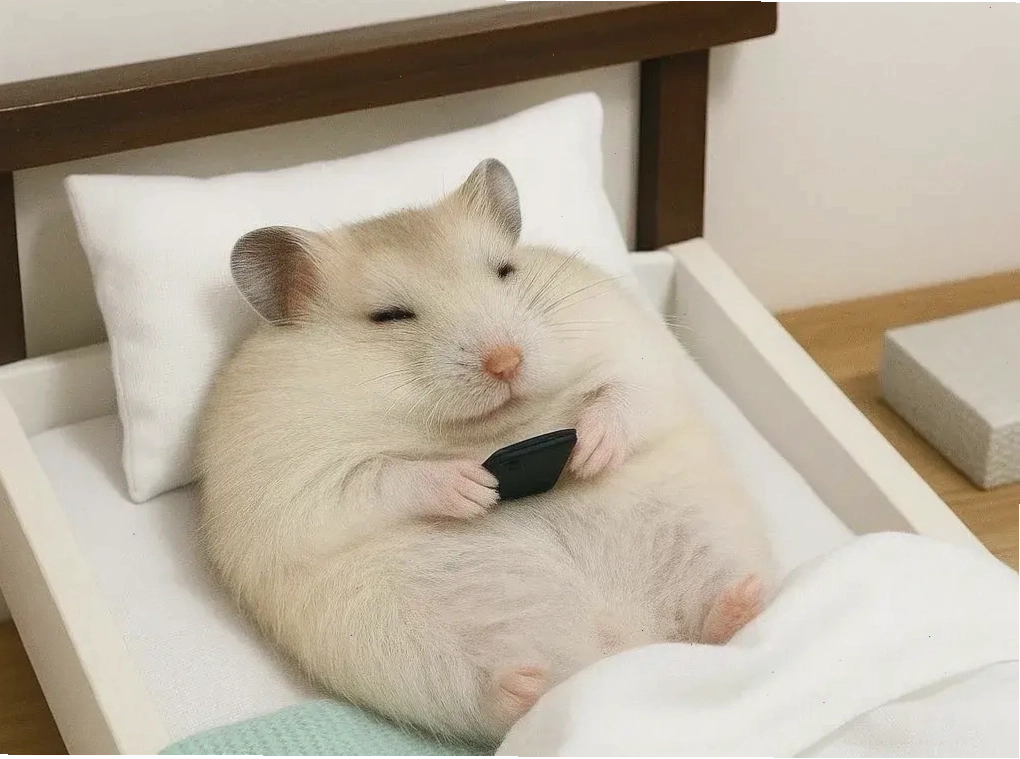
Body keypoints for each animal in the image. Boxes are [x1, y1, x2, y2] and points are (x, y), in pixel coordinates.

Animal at [196, 158, 774, 746]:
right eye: (390, 316)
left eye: (504, 271)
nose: (506, 360)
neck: (493, 429)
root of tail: (626, 643)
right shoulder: (299, 479)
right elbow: (382, 478)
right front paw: (475, 488)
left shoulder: (635, 349)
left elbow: (626, 394)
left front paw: (590, 452)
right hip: (398, 639)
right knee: (487, 694)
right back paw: (524, 685)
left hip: (706, 529)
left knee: (715, 618)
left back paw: (743, 601)